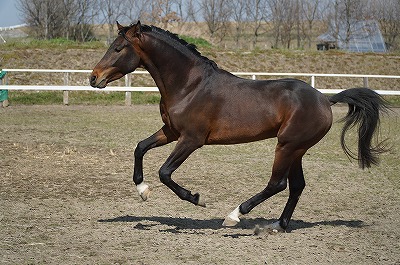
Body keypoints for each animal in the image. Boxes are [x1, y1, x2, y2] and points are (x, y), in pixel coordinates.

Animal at [90, 21, 388, 231]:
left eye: (118, 48)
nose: (93, 78)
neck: (189, 85)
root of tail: (325, 99)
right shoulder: (172, 132)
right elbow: (140, 148)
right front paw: (142, 191)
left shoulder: (191, 140)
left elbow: (164, 172)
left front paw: (197, 198)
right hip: (297, 149)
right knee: (296, 186)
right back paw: (277, 226)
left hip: (287, 146)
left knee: (277, 184)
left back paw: (234, 216)